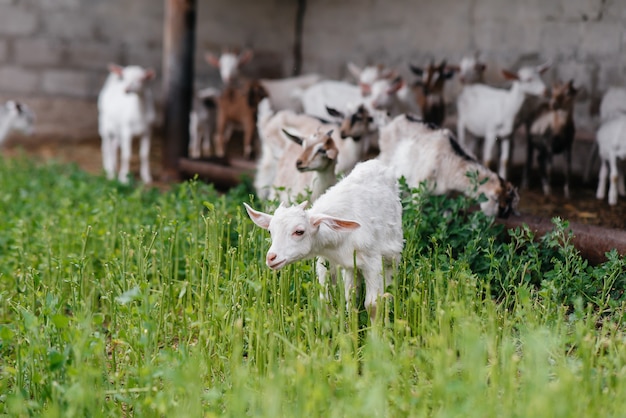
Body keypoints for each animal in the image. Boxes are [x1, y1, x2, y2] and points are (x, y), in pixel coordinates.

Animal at [241, 158, 402, 322]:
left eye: (299, 231)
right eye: (270, 231)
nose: (271, 257)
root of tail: (375, 162)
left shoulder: (372, 261)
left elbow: (373, 305)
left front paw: (378, 328)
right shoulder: (325, 261)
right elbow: (326, 301)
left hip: (393, 250)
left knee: (389, 281)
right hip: (352, 266)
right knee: (352, 293)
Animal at [376, 114, 516, 219]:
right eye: (502, 207)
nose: (505, 217)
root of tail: (391, 122)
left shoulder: (444, 196)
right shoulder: (419, 187)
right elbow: (417, 214)